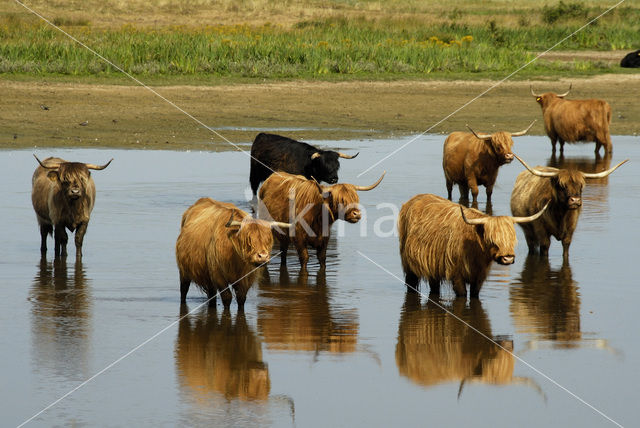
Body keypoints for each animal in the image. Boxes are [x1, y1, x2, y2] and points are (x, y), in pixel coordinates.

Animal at [256, 171, 384, 270]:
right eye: (341, 200)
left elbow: (322, 259)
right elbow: (304, 259)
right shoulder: (299, 238)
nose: (356, 214)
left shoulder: (324, 240)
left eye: (355, 199)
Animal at [398, 194, 548, 298]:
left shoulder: (479, 277)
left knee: (434, 286)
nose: (508, 259)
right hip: (408, 264)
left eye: (513, 240)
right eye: (492, 240)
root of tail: (413, 200)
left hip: (433, 267)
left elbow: (475, 294)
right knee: (411, 282)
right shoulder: (456, 275)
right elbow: (463, 295)